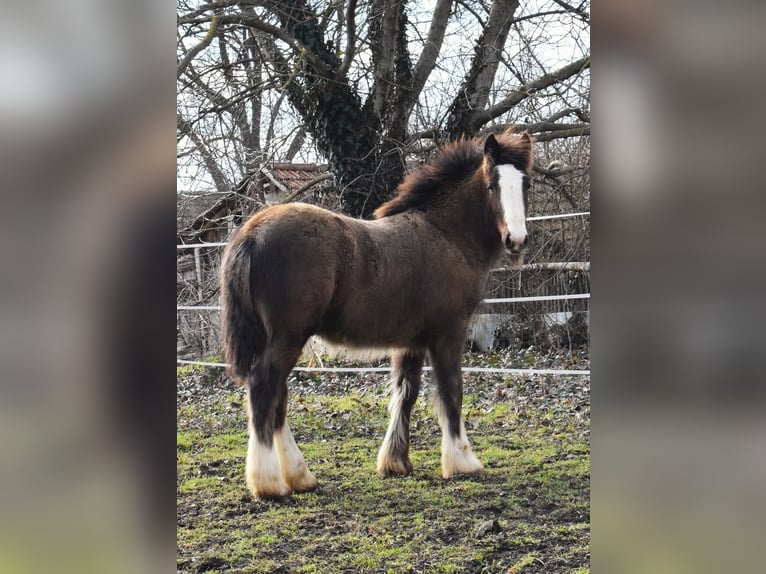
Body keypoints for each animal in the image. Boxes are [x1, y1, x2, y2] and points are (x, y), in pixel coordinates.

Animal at [220, 130, 536, 500]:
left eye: (526, 183)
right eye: (491, 185)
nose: (516, 240)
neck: (446, 234)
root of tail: (253, 232)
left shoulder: (411, 341)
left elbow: (405, 392)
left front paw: (396, 461)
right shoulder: (449, 332)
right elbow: (451, 391)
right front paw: (462, 461)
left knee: (277, 397)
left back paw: (300, 477)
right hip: (288, 336)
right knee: (264, 387)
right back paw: (270, 483)